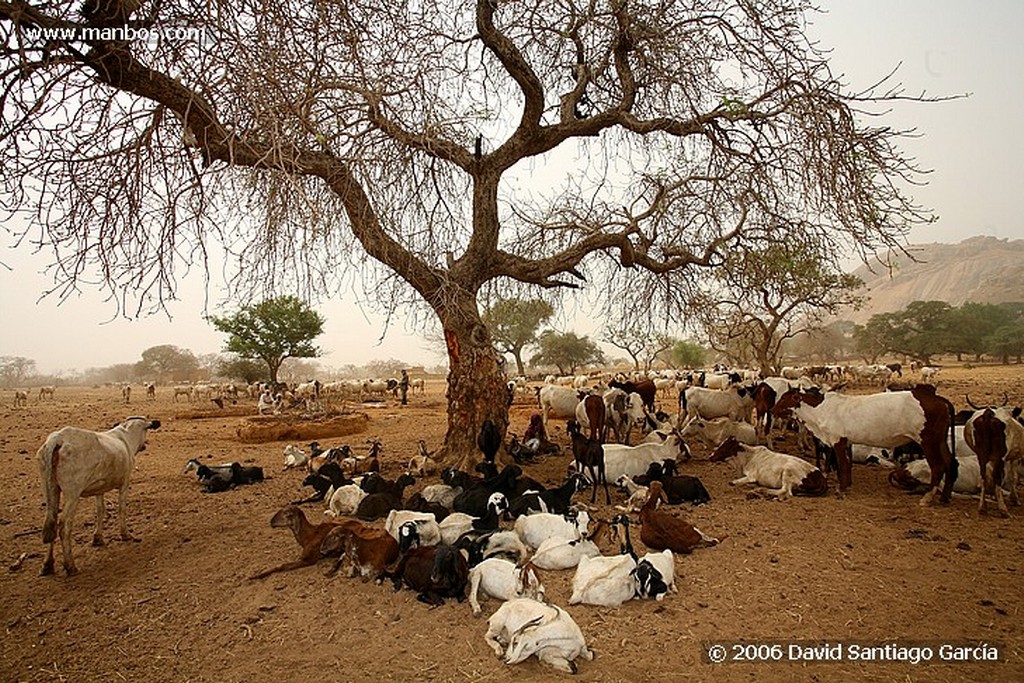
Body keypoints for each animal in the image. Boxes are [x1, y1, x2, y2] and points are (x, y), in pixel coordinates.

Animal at [37, 417, 159, 577]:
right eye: (146, 430)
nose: (144, 445)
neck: (126, 436)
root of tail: (58, 438)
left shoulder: (99, 488)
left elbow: (100, 510)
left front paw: (98, 538)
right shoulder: (125, 483)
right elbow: (122, 509)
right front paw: (125, 534)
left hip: (50, 487)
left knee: (51, 522)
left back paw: (47, 565)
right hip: (72, 493)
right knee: (64, 526)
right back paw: (70, 566)